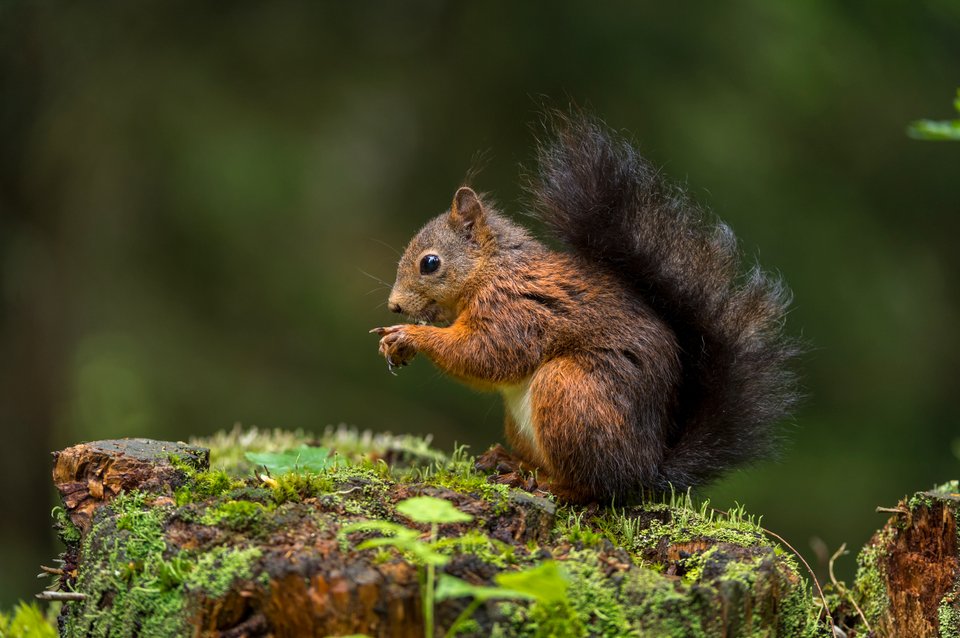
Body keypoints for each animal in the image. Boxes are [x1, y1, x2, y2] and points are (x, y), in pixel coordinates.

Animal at [372, 112, 801, 504]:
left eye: (430, 263)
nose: (394, 306)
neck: (492, 269)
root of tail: (647, 471)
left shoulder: (516, 310)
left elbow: (488, 355)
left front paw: (410, 336)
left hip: (571, 391)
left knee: (595, 486)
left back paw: (546, 484)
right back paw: (511, 462)